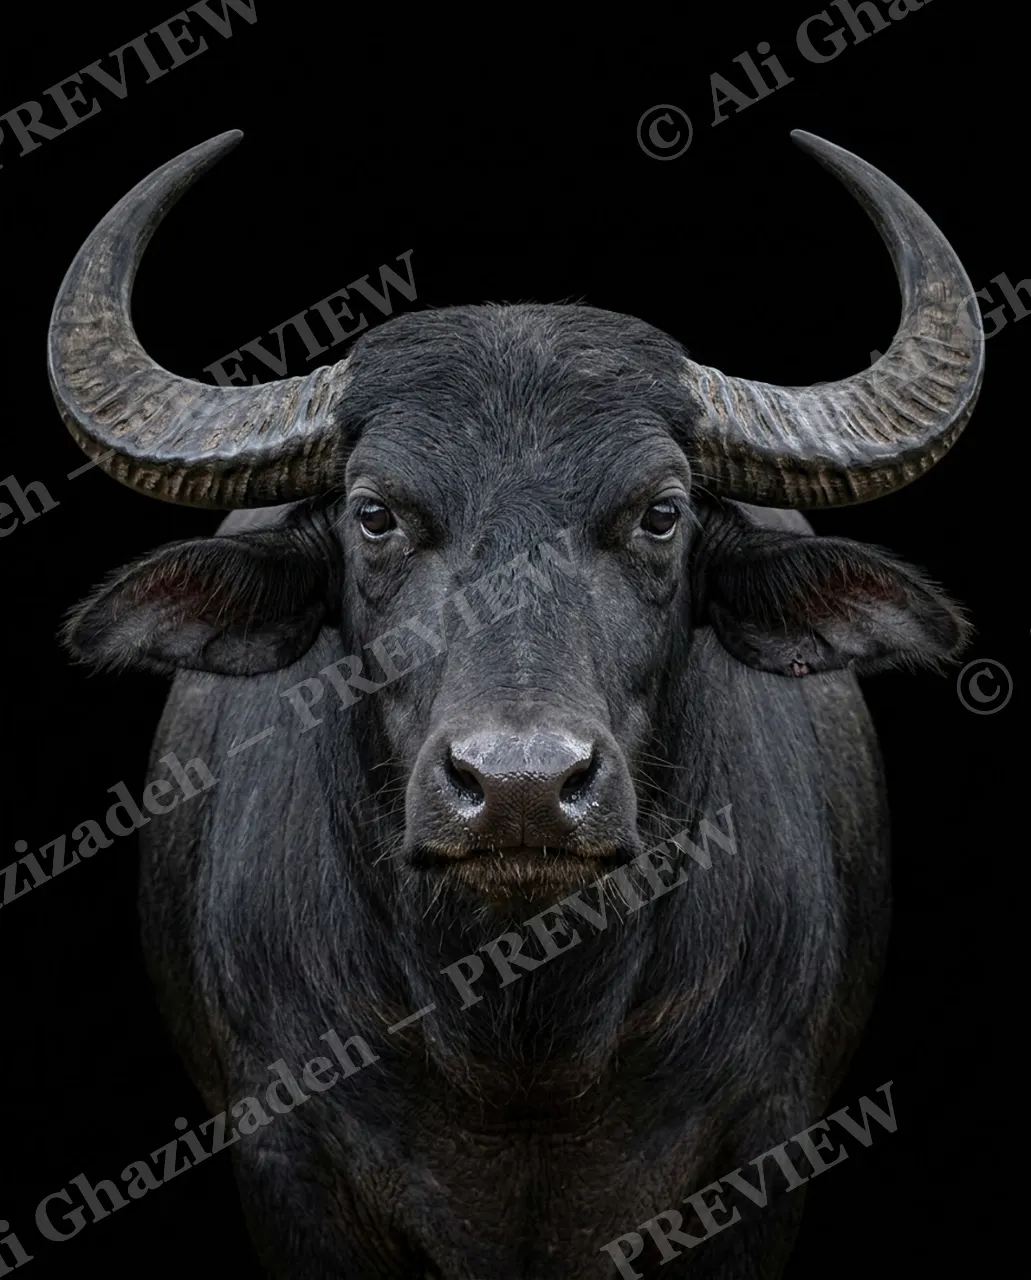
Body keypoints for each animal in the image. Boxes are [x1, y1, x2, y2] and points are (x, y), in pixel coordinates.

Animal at [50, 129, 983, 1277]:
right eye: (374, 513)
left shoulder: (764, 1145)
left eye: (660, 512)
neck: (523, 1044)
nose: (521, 787)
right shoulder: (287, 1165)